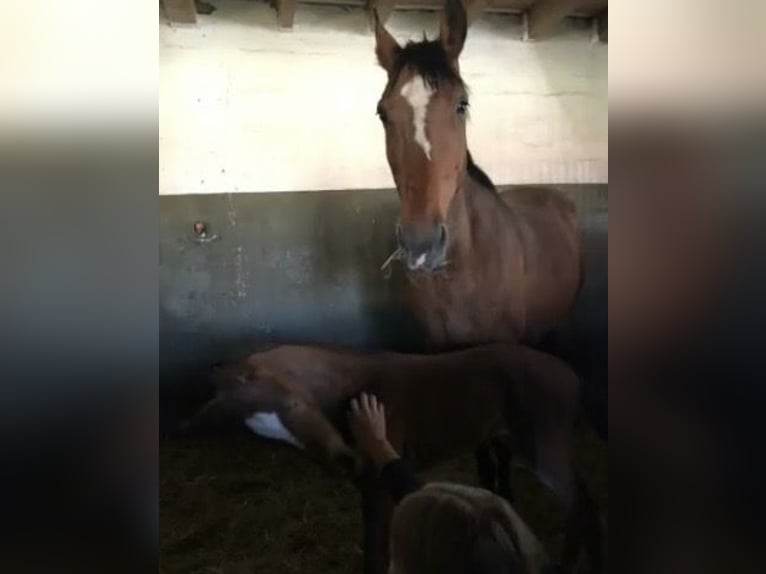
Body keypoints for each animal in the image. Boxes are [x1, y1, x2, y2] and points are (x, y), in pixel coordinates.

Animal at [186, 343, 603, 574]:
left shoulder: (378, 486)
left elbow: (375, 550)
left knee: (579, 500)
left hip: (542, 446)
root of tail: (573, 377)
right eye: (280, 442)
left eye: (295, 403)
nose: (343, 461)